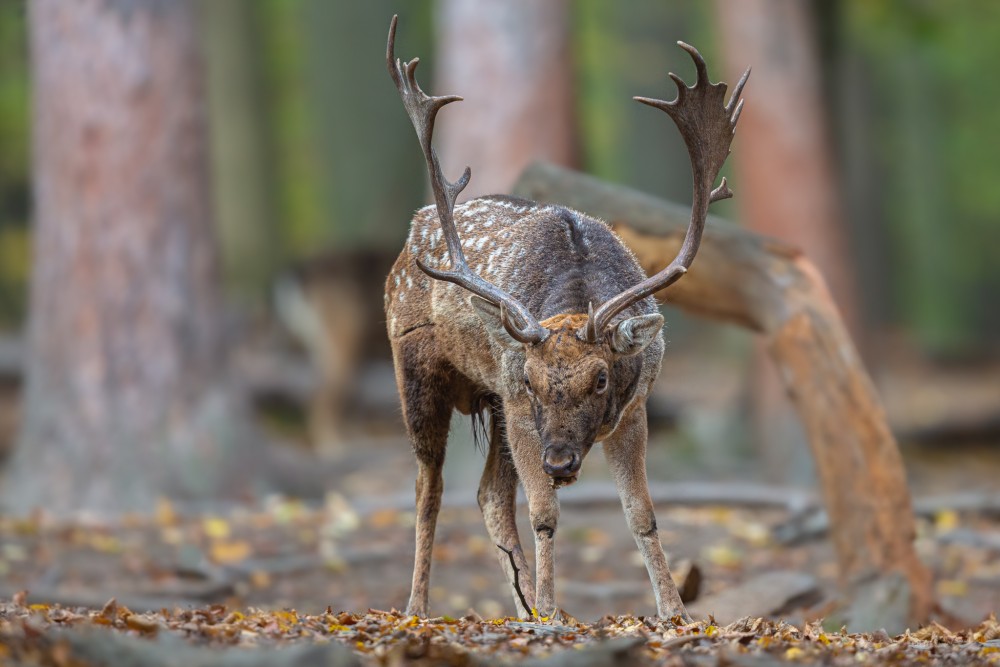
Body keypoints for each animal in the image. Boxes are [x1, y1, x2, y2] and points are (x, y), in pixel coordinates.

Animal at [382, 15, 744, 620]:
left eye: (601, 379)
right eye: (531, 380)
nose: (558, 462)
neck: (575, 291)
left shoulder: (635, 405)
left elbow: (642, 515)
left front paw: (676, 612)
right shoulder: (518, 406)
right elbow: (545, 514)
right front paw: (552, 613)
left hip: (492, 405)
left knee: (489, 494)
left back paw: (522, 602)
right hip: (417, 367)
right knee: (428, 490)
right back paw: (418, 607)